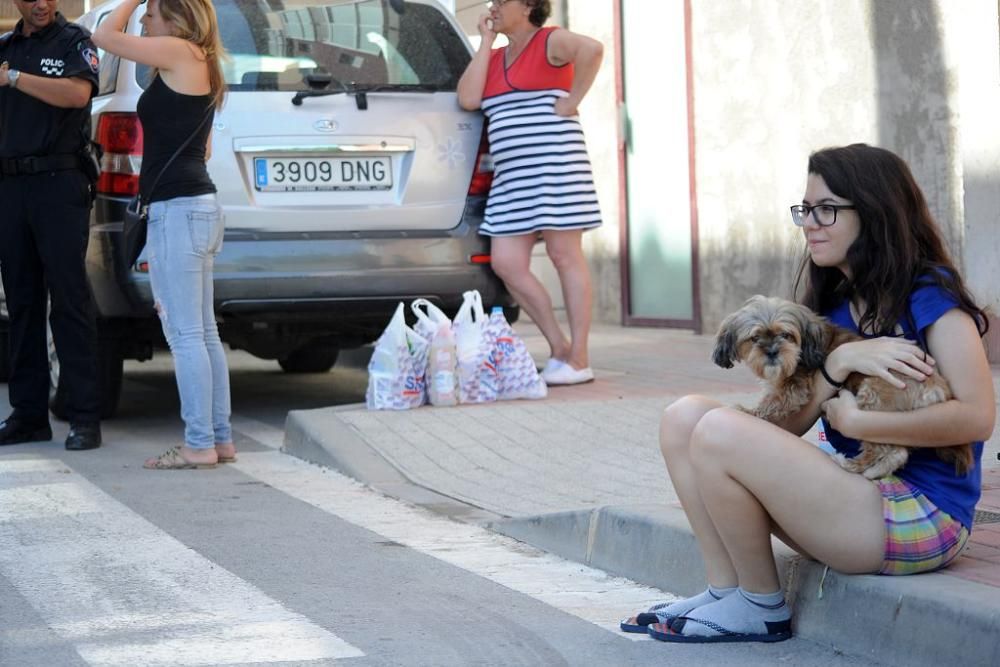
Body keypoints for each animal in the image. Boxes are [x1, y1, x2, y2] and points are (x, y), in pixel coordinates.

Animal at [716, 298, 972, 480]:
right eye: (754, 338)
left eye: (786, 335)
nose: (771, 351)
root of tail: (936, 386)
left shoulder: (794, 387)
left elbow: (771, 404)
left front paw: (746, 411)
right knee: (897, 453)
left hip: (872, 402)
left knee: (882, 449)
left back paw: (851, 464)